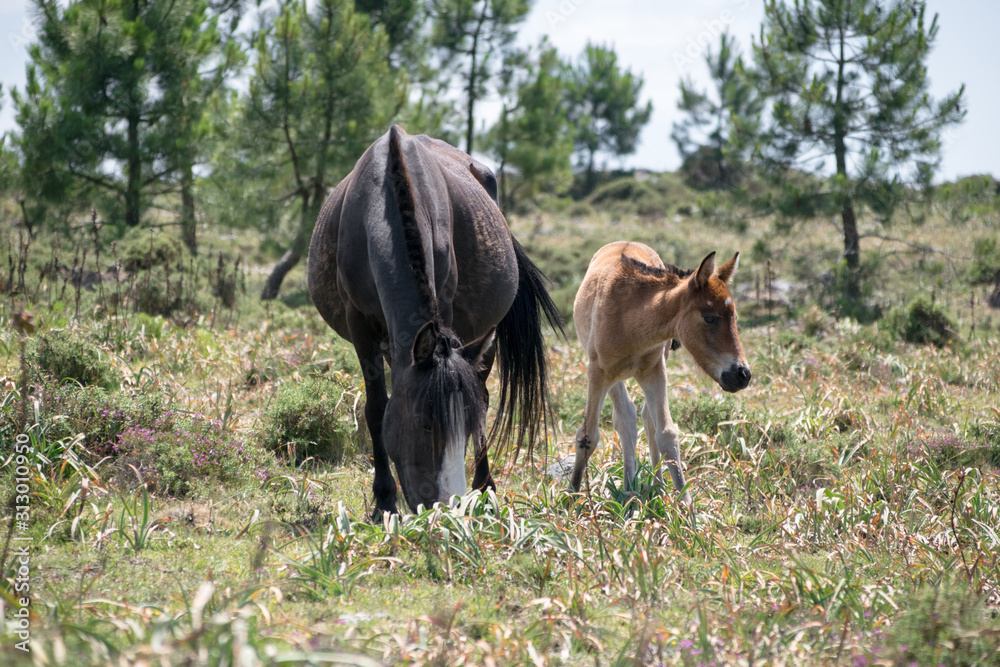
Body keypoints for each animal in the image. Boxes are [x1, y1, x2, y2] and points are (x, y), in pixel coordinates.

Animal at [310, 128, 564, 520]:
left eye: (463, 428)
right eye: (423, 423)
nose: (447, 507)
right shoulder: (360, 325)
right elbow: (376, 409)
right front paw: (384, 502)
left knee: (484, 394)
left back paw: (485, 488)